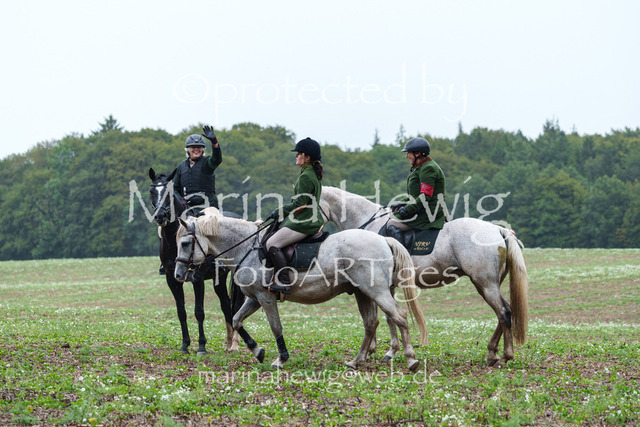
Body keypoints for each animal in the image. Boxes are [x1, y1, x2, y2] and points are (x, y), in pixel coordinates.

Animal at [148, 168, 244, 355]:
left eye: (169, 192)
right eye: (152, 192)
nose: (160, 216)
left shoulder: (197, 278)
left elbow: (199, 311)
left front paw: (201, 346)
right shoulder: (172, 279)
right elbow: (181, 311)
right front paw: (185, 345)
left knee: (235, 305)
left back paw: (235, 344)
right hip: (219, 279)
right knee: (225, 305)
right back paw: (229, 343)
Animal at [174, 207, 425, 372]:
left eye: (185, 243)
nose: (178, 274)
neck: (247, 247)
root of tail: (383, 240)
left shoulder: (265, 297)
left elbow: (275, 327)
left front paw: (281, 358)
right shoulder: (254, 298)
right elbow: (236, 320)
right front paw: (257, 350)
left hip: (376, 291)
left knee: (399, 316)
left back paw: (410, 359)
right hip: (362, 292)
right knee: (371, 323)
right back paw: (356, 361)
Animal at [319, 186, 529, 367]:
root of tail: (498, 229)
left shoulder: (376, 285)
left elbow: (387, 316)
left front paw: (383, 351)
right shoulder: (386, 287)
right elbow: (388, 316)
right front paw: (383, 351)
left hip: (485, 283)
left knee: (503, 312)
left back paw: (505, 356)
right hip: (488, 285)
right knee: (503, 314)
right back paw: (492, 353)